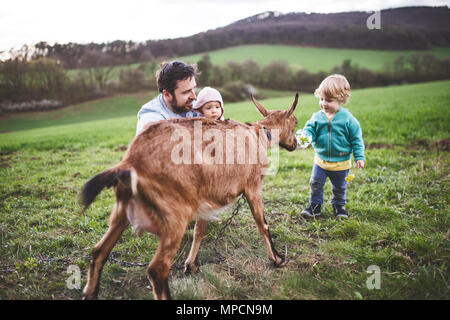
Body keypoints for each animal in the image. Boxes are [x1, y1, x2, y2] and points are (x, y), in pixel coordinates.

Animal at [81, 93, 298, 300]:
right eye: (295, 122)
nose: (295, 144)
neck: (260, 134)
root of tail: (130, 163)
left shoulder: (205, 198)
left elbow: (199, 231)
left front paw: (191, 265)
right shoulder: (253, 187)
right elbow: (263, 225)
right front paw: (277, 259)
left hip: (122, 210)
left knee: (99, 251)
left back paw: (90, 293)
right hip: (175, 215)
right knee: (157, 269)